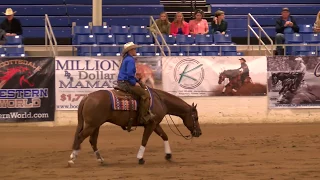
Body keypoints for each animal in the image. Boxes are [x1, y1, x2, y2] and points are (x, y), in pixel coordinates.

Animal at [68, 87, 202, 166]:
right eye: (196, 117)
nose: (199, 133)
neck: (160, 101)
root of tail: (87, 97)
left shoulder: (155, 124)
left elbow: (164, 136)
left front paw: (168, 155)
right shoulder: (151, 125)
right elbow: (144, 140)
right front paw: (140, 158)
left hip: (96, 125)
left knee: (92, 140)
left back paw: (100, 159)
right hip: (92, 125)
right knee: (80, 137)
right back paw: (72, 158)